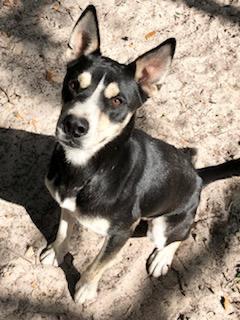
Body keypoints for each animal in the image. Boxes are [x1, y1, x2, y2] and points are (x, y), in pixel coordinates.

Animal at [39, 5, 240, 304]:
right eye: (74, 84)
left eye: (117, 101)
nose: (74, 125)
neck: (91, 169)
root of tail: (197, 176)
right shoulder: (66, 206)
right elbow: (64, 229)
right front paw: (56, 251)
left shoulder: (121, 232)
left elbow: (98, 264)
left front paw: (86, 289)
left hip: (162, 226)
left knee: (180, 235)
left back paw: (161, 259)